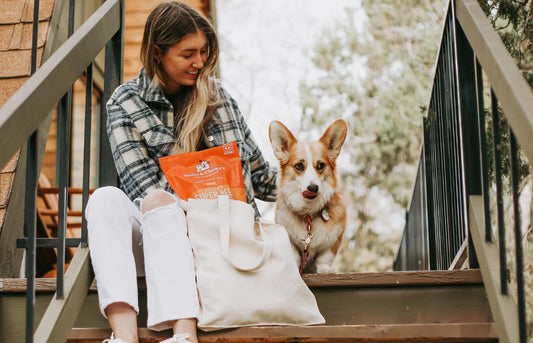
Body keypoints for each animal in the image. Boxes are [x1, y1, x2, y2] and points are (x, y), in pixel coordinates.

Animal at [268, 119, 348, 276]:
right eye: (299, 165)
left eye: (321, 165)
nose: (313, 188)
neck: (308, 212)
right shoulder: (289, 240)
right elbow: (295, 256)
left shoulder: (334, 240)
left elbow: (324, 257)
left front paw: (325, 270)